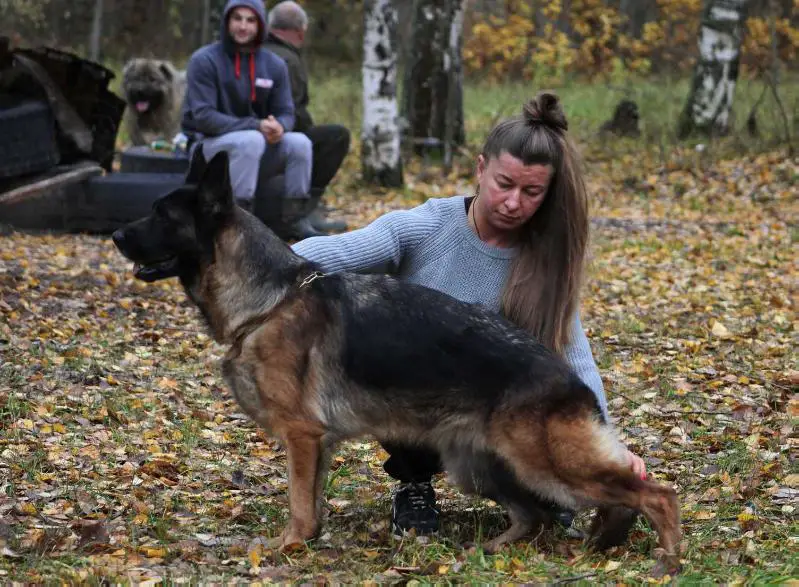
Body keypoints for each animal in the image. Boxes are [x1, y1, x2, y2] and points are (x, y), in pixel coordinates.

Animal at [111, 153, 680, 580]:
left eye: (162, 215)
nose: (115, 237)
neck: (268, 301)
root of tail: (571, 381)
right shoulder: (316, 444)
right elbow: (311, 502)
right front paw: (307, 542)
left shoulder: (301, 435)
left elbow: (297, 502)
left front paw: (286, 547)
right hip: (480, 466)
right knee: (535, 515)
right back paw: (492, 549)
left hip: (547, 464)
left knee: (657, 493)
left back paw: (668, 560)